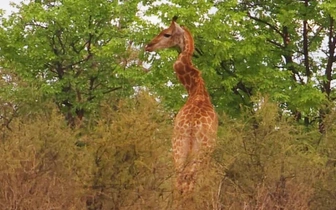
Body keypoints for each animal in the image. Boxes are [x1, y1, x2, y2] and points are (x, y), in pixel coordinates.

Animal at [144, 16, 218, 195]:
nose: (148, 46)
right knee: (189, 181)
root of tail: (192, 125)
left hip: (178, 146)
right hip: (200, 151)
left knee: (179, 181)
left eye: (167, 34)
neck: (196, 90)